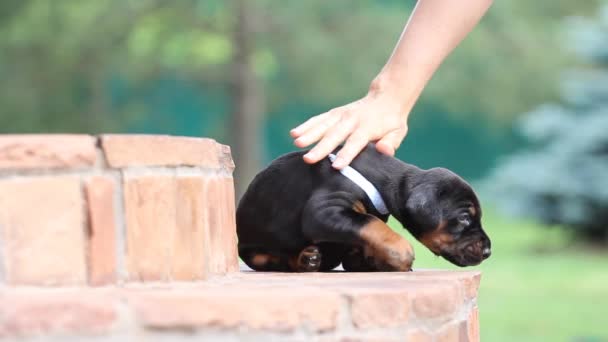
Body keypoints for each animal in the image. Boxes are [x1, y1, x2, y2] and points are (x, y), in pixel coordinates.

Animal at [235, 144, 492, 272]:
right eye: (464, 218)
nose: (488, 251)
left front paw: (374, 260)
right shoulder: (325, 210)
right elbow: (372, 223)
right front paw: (401, 253)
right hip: (254, 251)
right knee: (275, 260)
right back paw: (305, 260)